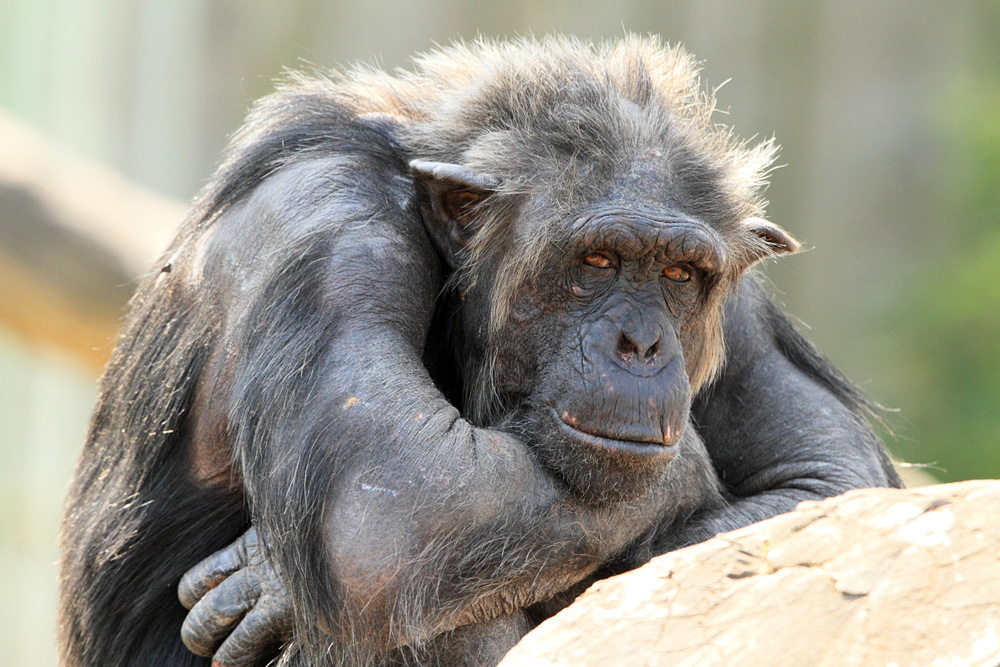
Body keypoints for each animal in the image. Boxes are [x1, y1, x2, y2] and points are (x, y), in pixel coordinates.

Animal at [58, 36, 904, 667]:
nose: (640, 342)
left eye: (679, 274)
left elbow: (828, 480)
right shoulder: (331, 226)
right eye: (597, 260)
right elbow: (388, 499)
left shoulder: (742, 305)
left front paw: (264, 582)